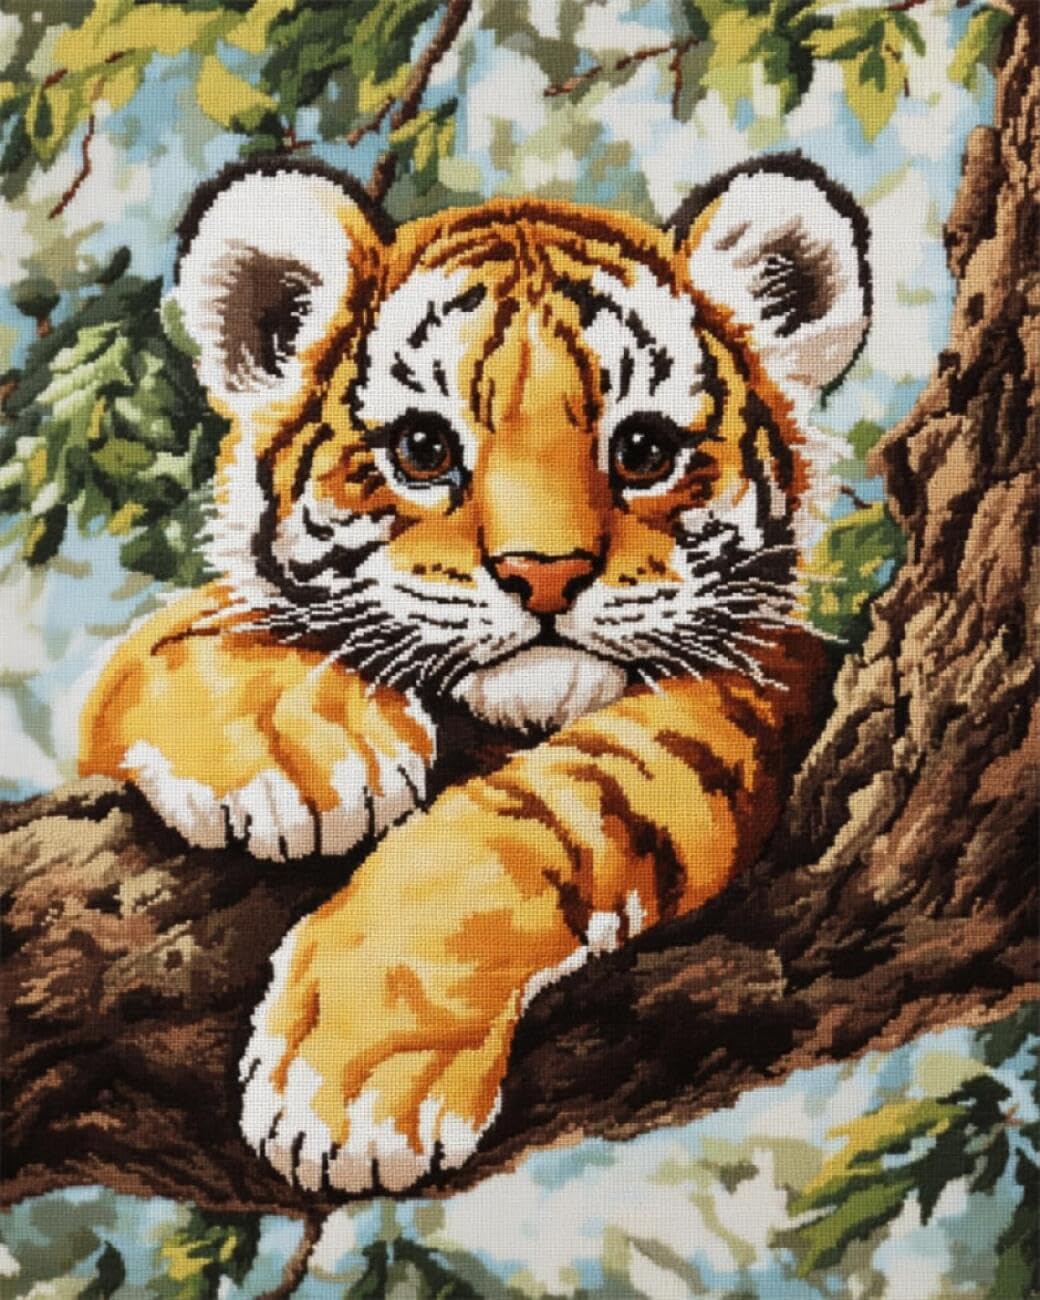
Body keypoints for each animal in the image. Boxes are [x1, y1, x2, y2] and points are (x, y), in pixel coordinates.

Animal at [79, 152, 870, 1194]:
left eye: (644, 450)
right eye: (424, 450)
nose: (547, 573)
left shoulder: (763, 683)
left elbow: (553, 806)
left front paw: (343, 1087)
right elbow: (181, 633)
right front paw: (298, 750)